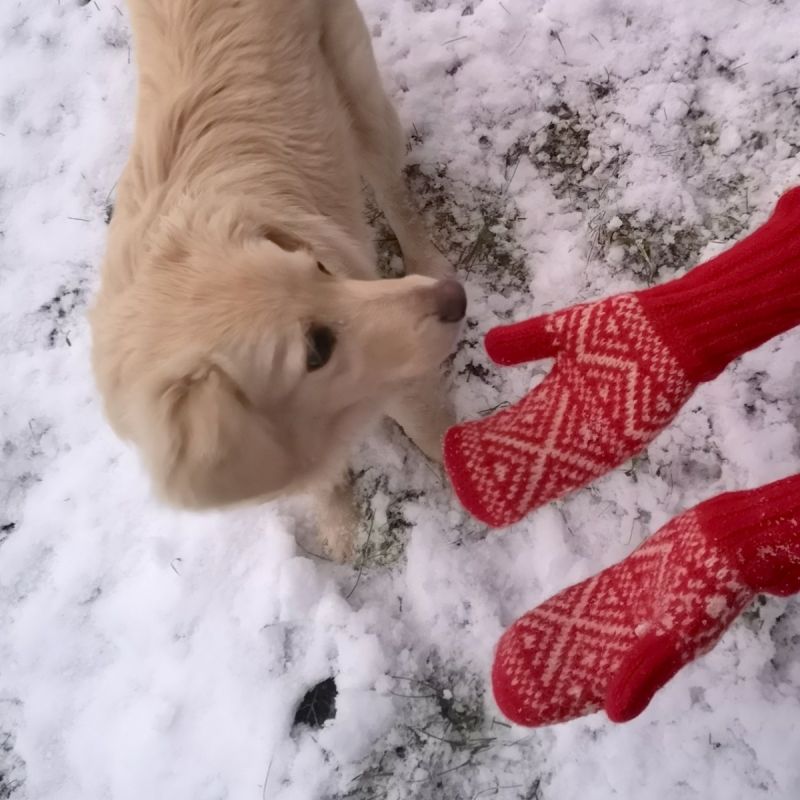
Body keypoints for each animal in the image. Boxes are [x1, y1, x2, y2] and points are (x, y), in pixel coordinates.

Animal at [90, 0, 466, 564]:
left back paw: (425, 255)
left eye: (321, 269)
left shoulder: (402, 376)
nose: (456, 301)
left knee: (390, 184)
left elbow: (435, 431)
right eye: (315, 351)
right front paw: (338, 525)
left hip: (358, 90)